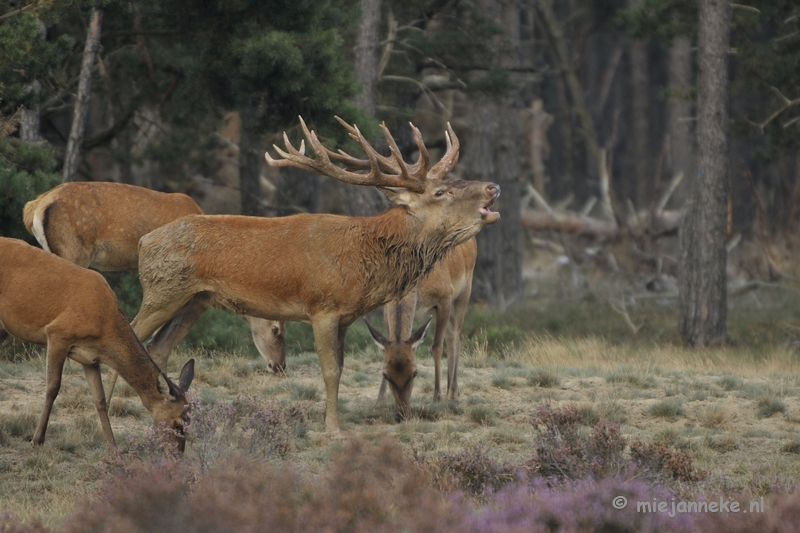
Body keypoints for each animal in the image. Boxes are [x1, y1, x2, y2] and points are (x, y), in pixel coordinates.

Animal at [0, 237, 194, 448]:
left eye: (190, 422)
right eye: (177, 424)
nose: (177, 453)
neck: (104, 326)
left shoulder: (90, 358)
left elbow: (100, 400)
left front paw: (114, 449)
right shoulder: (58, 334)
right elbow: (53, 387)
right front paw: (37, 440)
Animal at [368, 235, 476, 418]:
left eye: (415, 372)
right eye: (386, 374)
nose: (402, 414)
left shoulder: (445, 298)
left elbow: (436, 346)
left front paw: (437, 397)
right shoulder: (386, 305)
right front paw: (379, 399)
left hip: (465, 290)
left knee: (458, 334)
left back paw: (453, 393)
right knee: (451, 333)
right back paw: (451, 387)